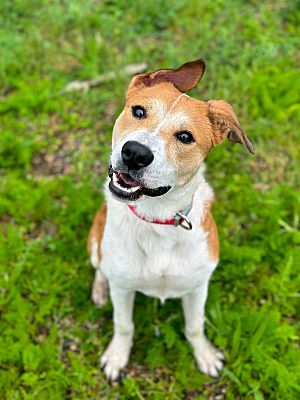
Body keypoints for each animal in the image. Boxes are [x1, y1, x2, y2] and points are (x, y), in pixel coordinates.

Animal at [86, 59, 253, 382]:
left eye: (185, 137)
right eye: (139, 111)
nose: (135, 153)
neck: (157, 220)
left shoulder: (198, 287)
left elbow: (195, 326)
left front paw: (205, 355)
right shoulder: (123, 288)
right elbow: (123, 325)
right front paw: (116, 356)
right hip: (95, 240)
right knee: (100, 266)